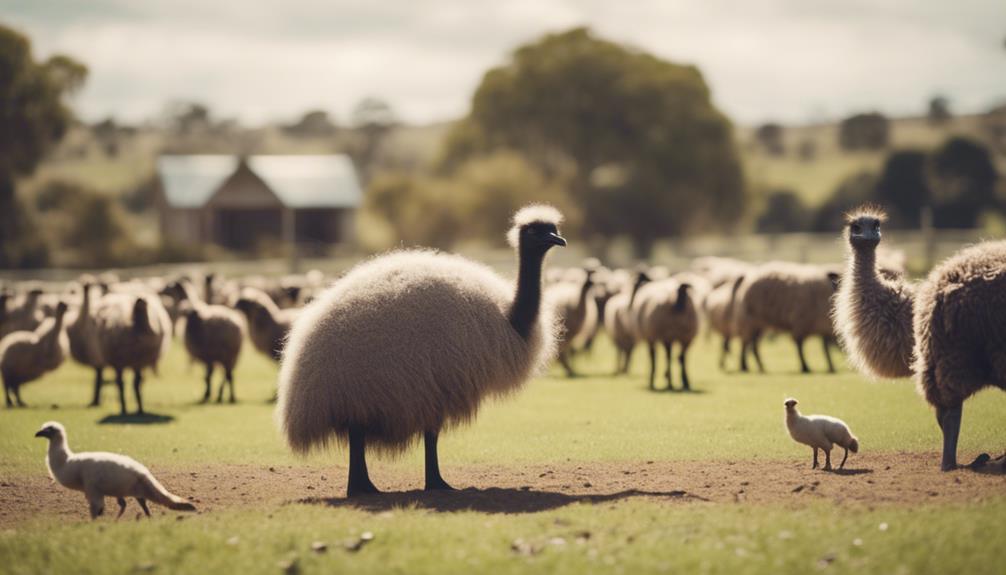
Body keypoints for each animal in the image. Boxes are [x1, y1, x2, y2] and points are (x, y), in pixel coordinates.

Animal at [34, 420, 195, 518]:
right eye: (43, 429)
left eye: (48, 429)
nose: (37, 434)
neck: (65, 462)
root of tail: (142, 472)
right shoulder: (94, 491)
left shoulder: (93, 490)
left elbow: (97, 511)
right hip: (125, 489)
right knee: (137, 502)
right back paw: (144, 518)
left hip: (123, 488)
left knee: (133, 502)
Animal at [275, 204, 567, 496]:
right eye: (534, 231)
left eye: (553, 228)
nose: (560, 240)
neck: (512, 321)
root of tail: (298, 393)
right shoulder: (438, 387)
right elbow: (431, 436)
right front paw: (437, 483)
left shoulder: (432, 392)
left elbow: (430, 435)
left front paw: (436, 482)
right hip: (358, 390)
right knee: (357, 434)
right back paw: (363, 488)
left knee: (356, 435)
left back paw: (361, 487)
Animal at [832, 207, 1006, 472]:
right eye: (856, 226)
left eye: (876, 224)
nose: (871, 236)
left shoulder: (944, 363)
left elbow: (946, 415)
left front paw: (956, 463)